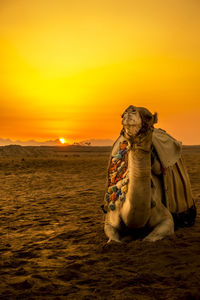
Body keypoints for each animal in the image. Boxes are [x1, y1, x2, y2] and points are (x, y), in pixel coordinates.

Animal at [102, 105, 196, 241]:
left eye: (148, 116)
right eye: (122, 115)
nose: (129, 110)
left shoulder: (166, 219)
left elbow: (149, 239)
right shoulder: (110, 219)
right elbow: (113, 239)